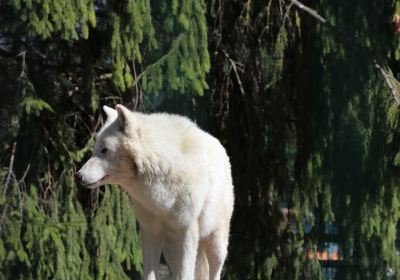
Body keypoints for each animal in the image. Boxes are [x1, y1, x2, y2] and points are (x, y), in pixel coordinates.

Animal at [76, 104, 234, 280]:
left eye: (104, 150)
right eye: (96, 149)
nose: (78, 176)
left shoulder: (186, 232)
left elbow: (185, 274)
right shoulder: (150, 231)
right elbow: (150, 273)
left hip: (216, 245)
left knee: (215, 272)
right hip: (171, 250)